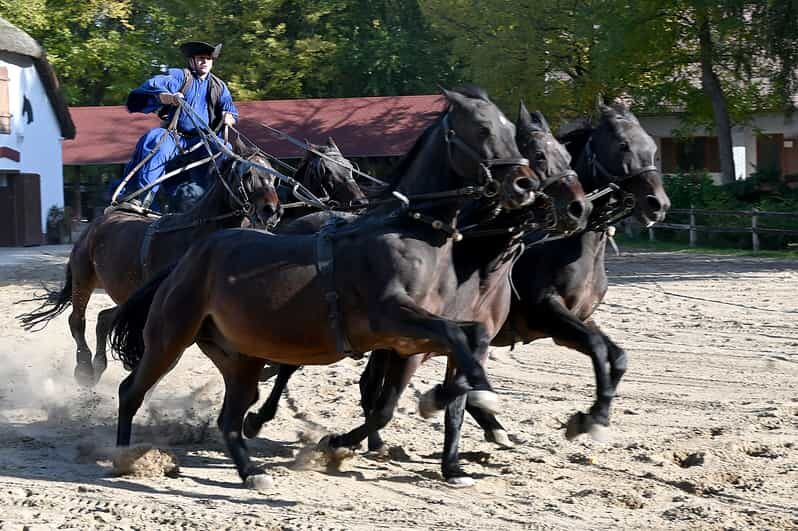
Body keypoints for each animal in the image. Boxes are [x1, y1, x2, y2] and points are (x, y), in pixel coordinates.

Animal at [16, 140, 282, 387]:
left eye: (273, 177)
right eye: (246, 174)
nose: (272, 211)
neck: (196, 236)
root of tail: (98, 221)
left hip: (128, 295)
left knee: (104, 319)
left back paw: (99, 363)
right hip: (84, 278)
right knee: (77, 321)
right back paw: (84, 367)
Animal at [107, 85, 542, 488]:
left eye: (511, 131)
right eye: (483, 128)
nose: (524, 184)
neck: (407, 233)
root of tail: (191, 257)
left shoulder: (411, 340)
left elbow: (467, 339)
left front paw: (459, 402)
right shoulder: (394, 318)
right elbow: (444, 345)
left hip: (240, 355)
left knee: (231, 416)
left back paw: (251, 470)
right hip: (169, 338)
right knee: (131, 391)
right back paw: (125, 455)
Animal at [359, 102, 671, 485]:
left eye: (652, 147)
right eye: (623, 145)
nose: (658, 204)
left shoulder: (573, 321)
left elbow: (617, 355)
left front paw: (593, 416)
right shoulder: (549, 314)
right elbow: (598, 348)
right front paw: (591, 419)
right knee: (372, 381)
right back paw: (378, 438)